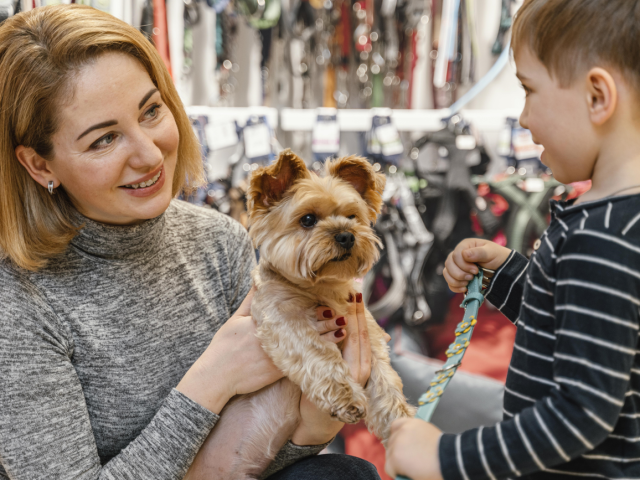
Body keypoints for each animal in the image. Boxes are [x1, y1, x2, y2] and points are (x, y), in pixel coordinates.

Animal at [182, 151, 418, 480]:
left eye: (352, 216)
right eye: (308, 220)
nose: (346, 235)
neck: (322, 288)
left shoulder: (369, 336)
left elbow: (386, 381)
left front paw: (402, 425)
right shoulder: (284, 322)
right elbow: (321, 356)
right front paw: (346, 397)